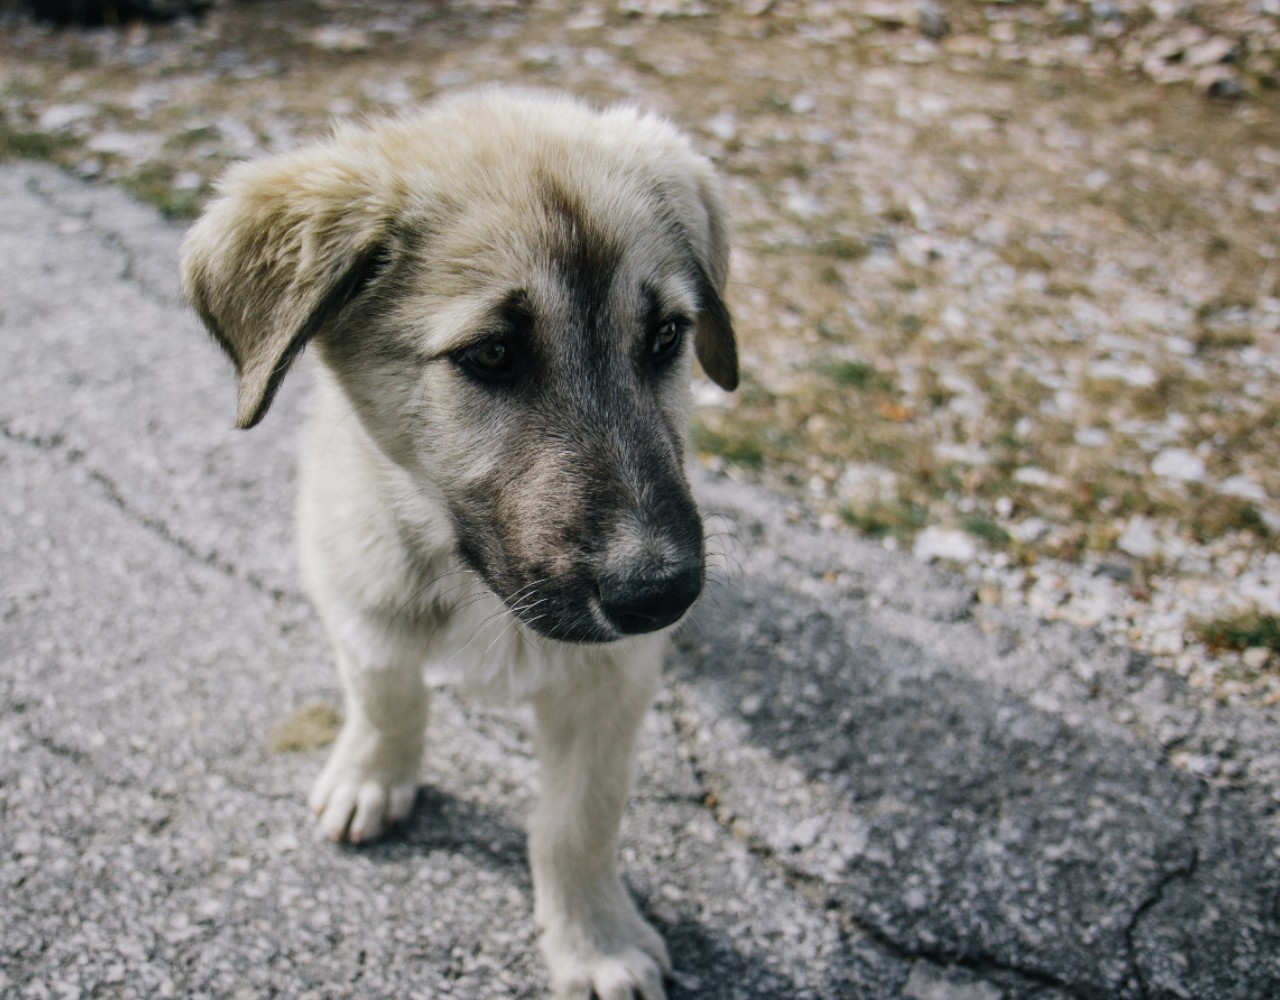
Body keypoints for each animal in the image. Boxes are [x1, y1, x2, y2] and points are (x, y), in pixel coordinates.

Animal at [183, 87, 742, 998]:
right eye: (493, 354)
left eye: (666, 338)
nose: (663, 592)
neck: (476, 583)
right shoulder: (357, 597)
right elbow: (387, 698)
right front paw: (374, 774)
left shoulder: (612, 685)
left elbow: (578, 821)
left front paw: (592, 938)